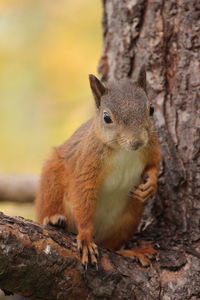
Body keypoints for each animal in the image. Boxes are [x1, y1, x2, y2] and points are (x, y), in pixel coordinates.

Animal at [35, 65, 161, 268]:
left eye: (151, 109)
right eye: (106, 117)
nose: (137, 141)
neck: (123, 151)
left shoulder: (151, 146)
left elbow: (154, 164)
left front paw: (151, 184)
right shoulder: (87, 163)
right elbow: (83, 193)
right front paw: (86, 238)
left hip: (127, 220)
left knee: (111, 247)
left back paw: (130, 251)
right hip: (51, 183)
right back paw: (53, 220)